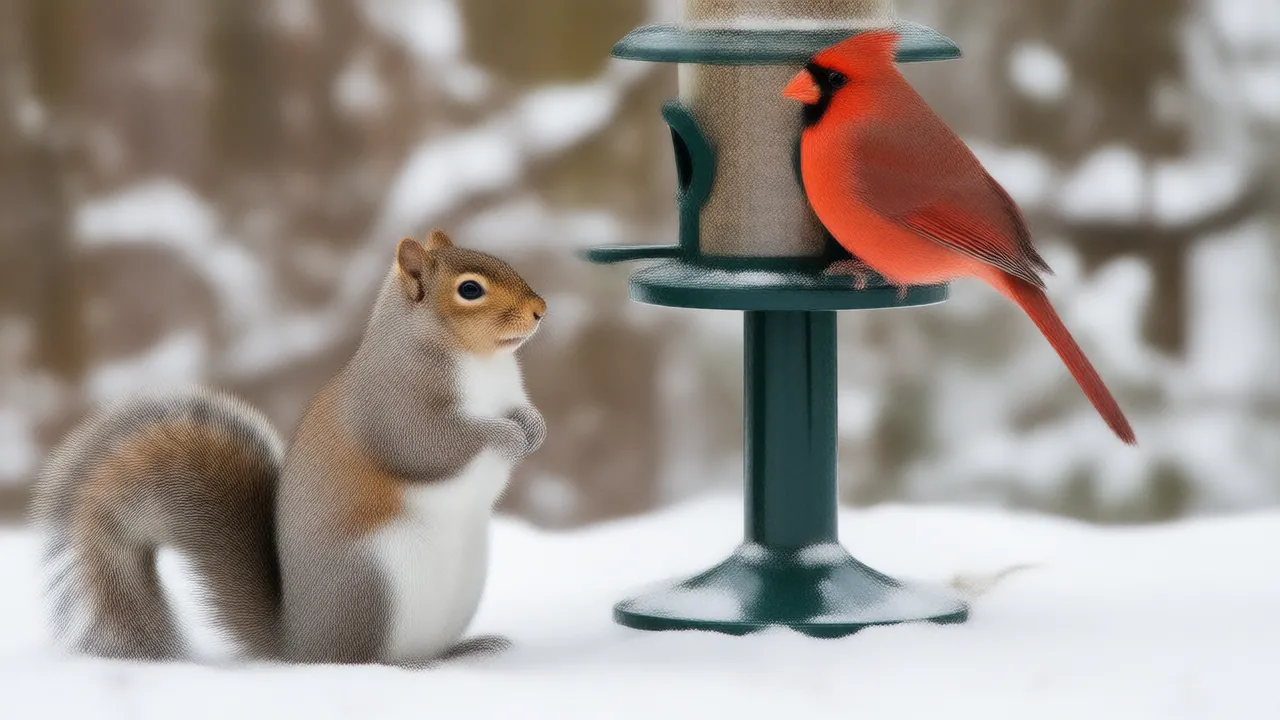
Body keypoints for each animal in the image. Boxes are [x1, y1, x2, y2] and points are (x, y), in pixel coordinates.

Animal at [29, 229, 548, 667]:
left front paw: (533, 428)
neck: (481, 363)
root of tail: (295, 643)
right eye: (470, 290)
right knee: (358, 658)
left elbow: (519, 412)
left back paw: (466, 649)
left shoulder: (508, 395)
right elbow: (428, 447)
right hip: (373, 583)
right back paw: (410, 665)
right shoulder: (394, 409)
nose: (541, 308)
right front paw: (505, 437)